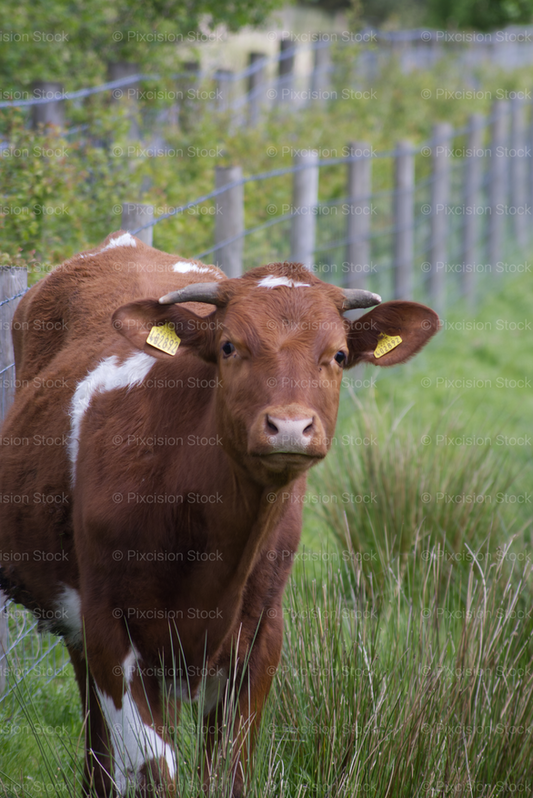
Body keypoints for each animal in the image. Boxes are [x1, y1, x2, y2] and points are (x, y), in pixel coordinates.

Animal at [0, 231, 438, 797]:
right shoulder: (108, 625)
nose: (290, 426)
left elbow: (228, 768)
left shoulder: (261, 632)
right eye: (229, 346)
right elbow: (154, 768)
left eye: (339, 354)